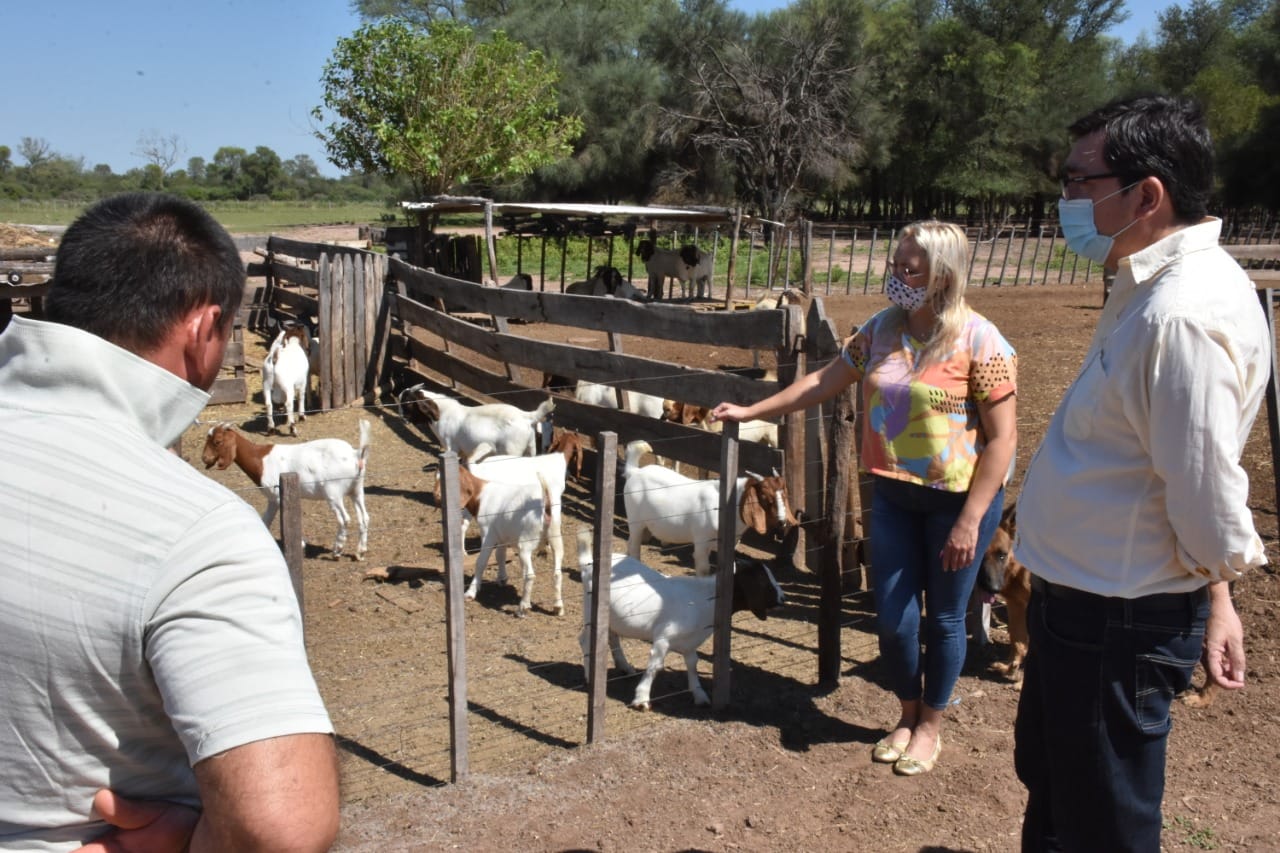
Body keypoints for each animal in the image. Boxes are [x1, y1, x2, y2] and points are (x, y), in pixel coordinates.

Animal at [201, 419, 372, 561]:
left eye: (217, 441)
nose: (204, 458)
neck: (260, 460)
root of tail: (355, 454)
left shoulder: (276, 496)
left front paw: (301, 544)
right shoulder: (272, 499)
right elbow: (265, 521)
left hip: (333, 492)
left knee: (345, 519)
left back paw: (337, 551)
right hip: (356, 489)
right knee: (364, 517)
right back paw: (360, 552)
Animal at [397, 385, 555, 459]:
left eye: (407, 403)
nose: (401, 417)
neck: (443, 413)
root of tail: (526, 416)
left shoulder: (450, 446)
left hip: (511, 450)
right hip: (531, 448)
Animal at [433, 463, 554, 617]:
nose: (435, 496)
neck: (481, 496)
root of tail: (545, 509)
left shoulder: (488, 533)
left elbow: (481, 562)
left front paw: (470, 593)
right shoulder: (501, 534)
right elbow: (500, 555)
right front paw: (502, 578)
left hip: (525, 545)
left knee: (530, 575)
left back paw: (523, 608)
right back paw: (558, 607)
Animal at [576, 531, 784, 709]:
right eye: (763, 581)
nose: (782, 598)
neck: (705, 598)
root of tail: (588, 564)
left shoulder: (690, 643)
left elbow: (693, 664)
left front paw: (700, 695)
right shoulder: (663, 637)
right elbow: (655, 665)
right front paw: (641, 699)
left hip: (611, 617)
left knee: (612, 637)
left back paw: (624, 667)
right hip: (590, 611)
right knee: (585, 640)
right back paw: (589, 677)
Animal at [621, 440, 798, 576]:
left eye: (785, 495)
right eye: (765, 496)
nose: (782, 521)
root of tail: (635, 472)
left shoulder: (728, 544)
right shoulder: (702, 540)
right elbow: (703, 569)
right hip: (635, 521)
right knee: (634, 545)